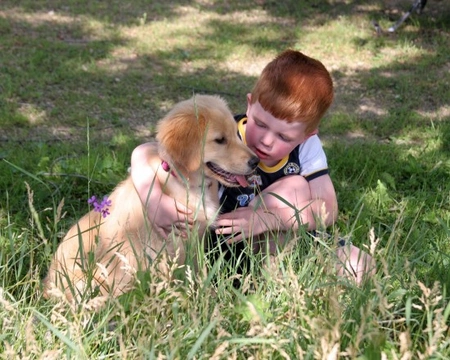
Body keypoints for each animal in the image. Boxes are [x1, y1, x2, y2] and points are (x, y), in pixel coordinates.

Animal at [43, 94, 260, 302]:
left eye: (236, 135)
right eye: (220, 140)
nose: (256, 161)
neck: (185, 183)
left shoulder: (195, 243)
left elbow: (198, 273)